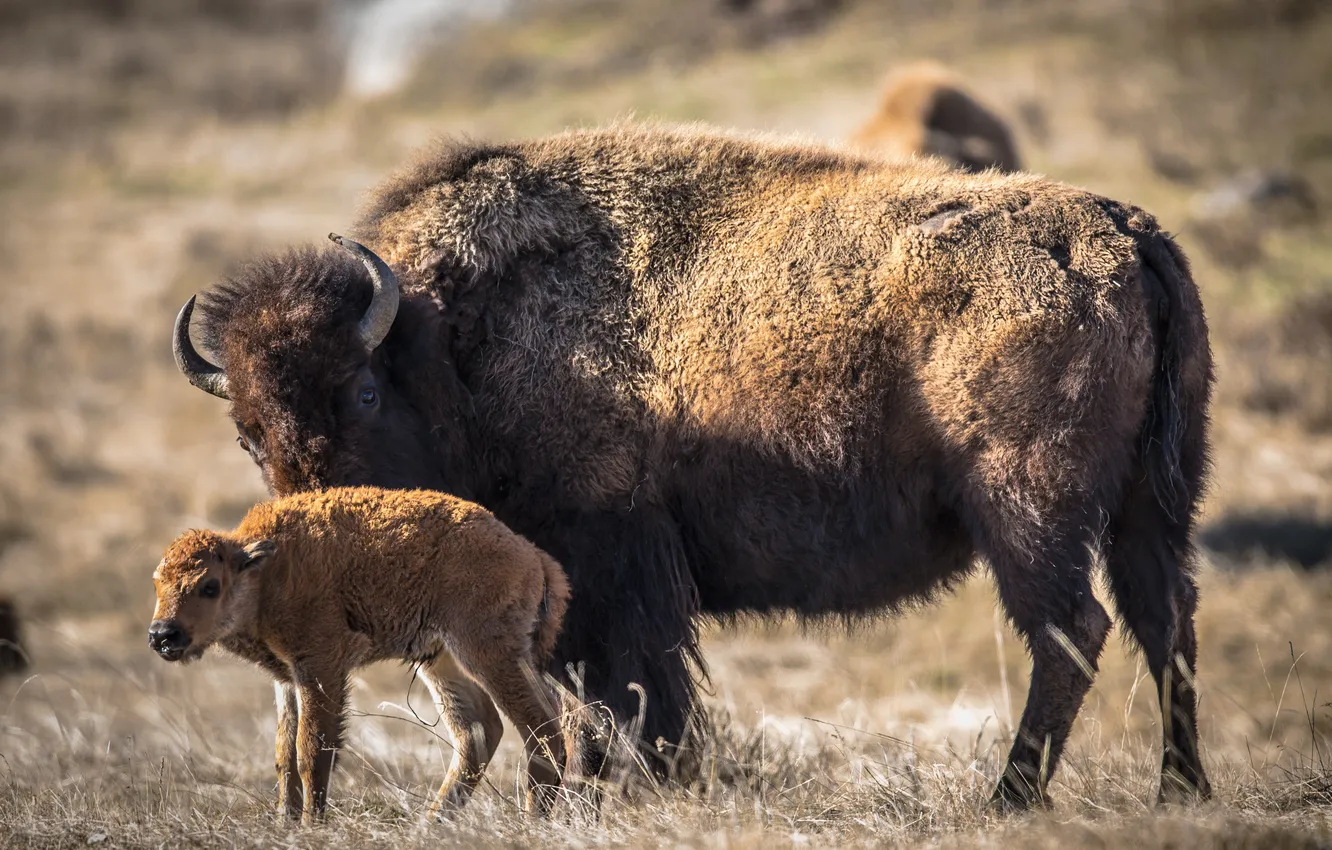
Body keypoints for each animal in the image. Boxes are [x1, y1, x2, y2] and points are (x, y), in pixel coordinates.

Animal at [173, 123, 1213, 808]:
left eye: (361, 393)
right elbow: (610, 699)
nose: (315, 535)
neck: (450, 338)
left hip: (1029, 512)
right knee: (1165, 623)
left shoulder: (608, 570)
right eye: (248, 431)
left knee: (1071, 632)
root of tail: (1122, 230)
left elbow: (629, 694)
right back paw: (1180, 791)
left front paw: (636, 790)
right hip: (1152, 509)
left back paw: (1007, 799)